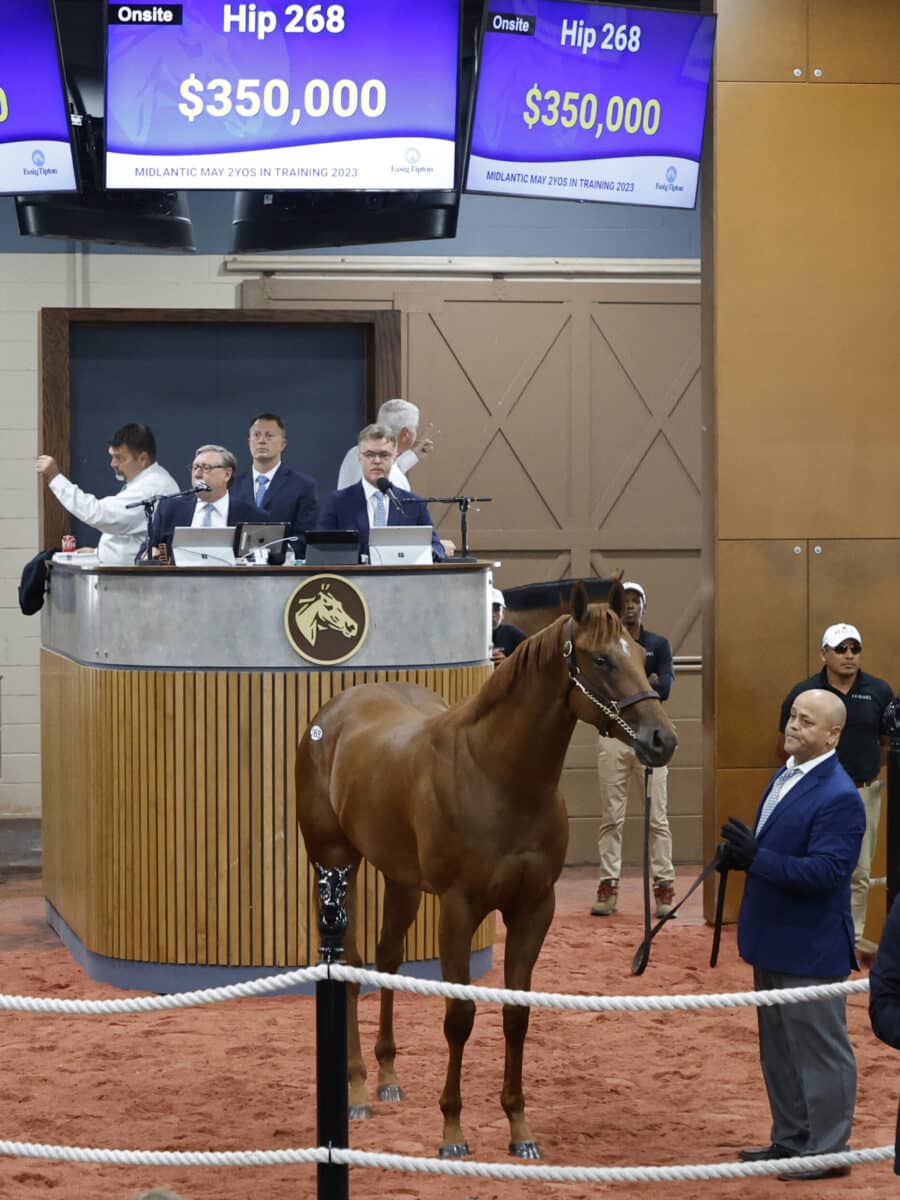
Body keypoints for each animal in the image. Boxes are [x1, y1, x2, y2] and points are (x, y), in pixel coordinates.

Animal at [296, 576, 676, 1156]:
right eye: (602, 659)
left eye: (639, 653)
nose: (662, 739)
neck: (498, 774)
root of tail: (334, 713)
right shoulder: (459, 909)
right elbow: (460, 1015)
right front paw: (452, 1132)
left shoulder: (534, 907)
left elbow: (516, 1014)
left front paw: (520, 1130)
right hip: (336, 864)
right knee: (350, 968)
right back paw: (358, 1091)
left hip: (400, 879)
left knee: (387, 961)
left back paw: (387, 1080)